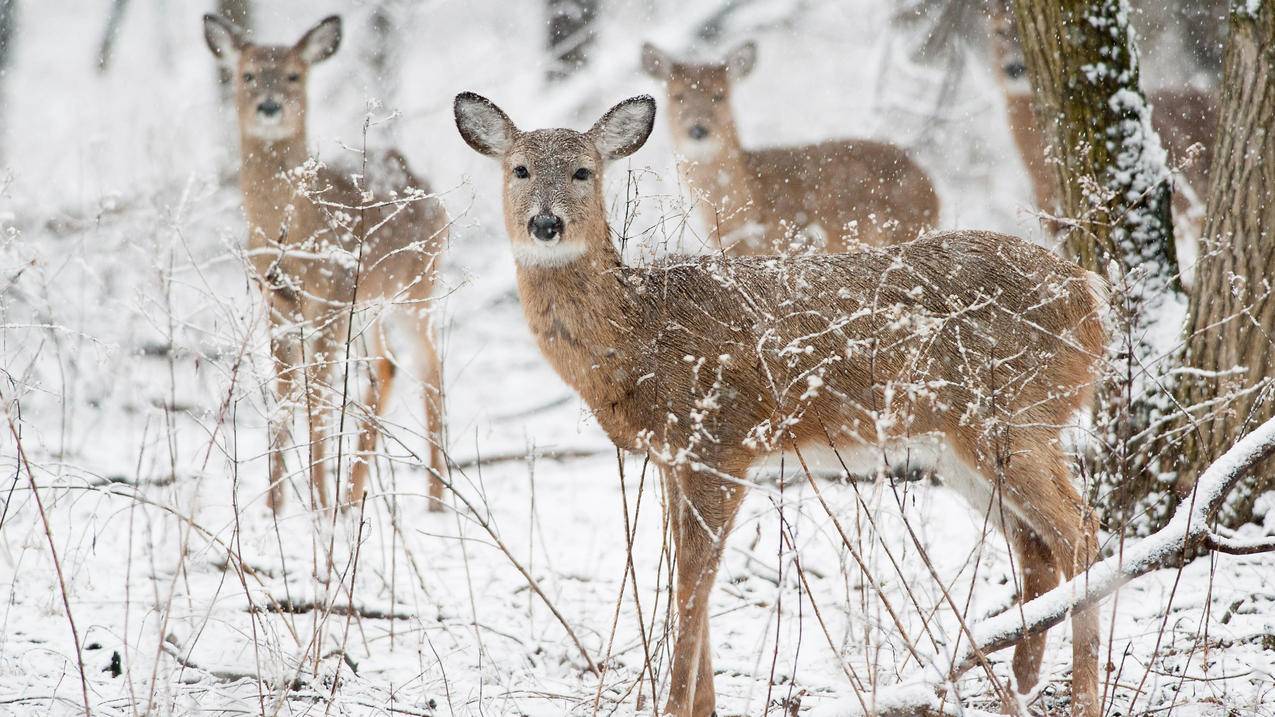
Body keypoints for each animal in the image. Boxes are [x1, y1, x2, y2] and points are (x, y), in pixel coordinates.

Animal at [202, 13, 448, 510]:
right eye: (248, 74)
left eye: (295, 75)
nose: (270, 106)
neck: (294, 231)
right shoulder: (276, 302)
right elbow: (285, 394)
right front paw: (275, 506)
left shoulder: (331, 298)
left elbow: (317, 397)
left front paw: (317, 503)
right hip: (370, 303)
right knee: (386, 368)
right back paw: (354, 494)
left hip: (417, 288)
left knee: (430, 368)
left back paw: (434, 502)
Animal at [456, 90, 1106, 714]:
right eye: (518, 169)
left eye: (583, 171)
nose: (546, 224)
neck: (638, 332)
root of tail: (1093, 298)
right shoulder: (675, 459)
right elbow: (687, 577)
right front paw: (702, 707)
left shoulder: (721, 442)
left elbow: (693, 586)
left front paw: (675, 706)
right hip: (956, 445)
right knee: (1036, 548)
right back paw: (1018, 692)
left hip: (1014, 414)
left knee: (1081, 531)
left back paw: (1082, 698)